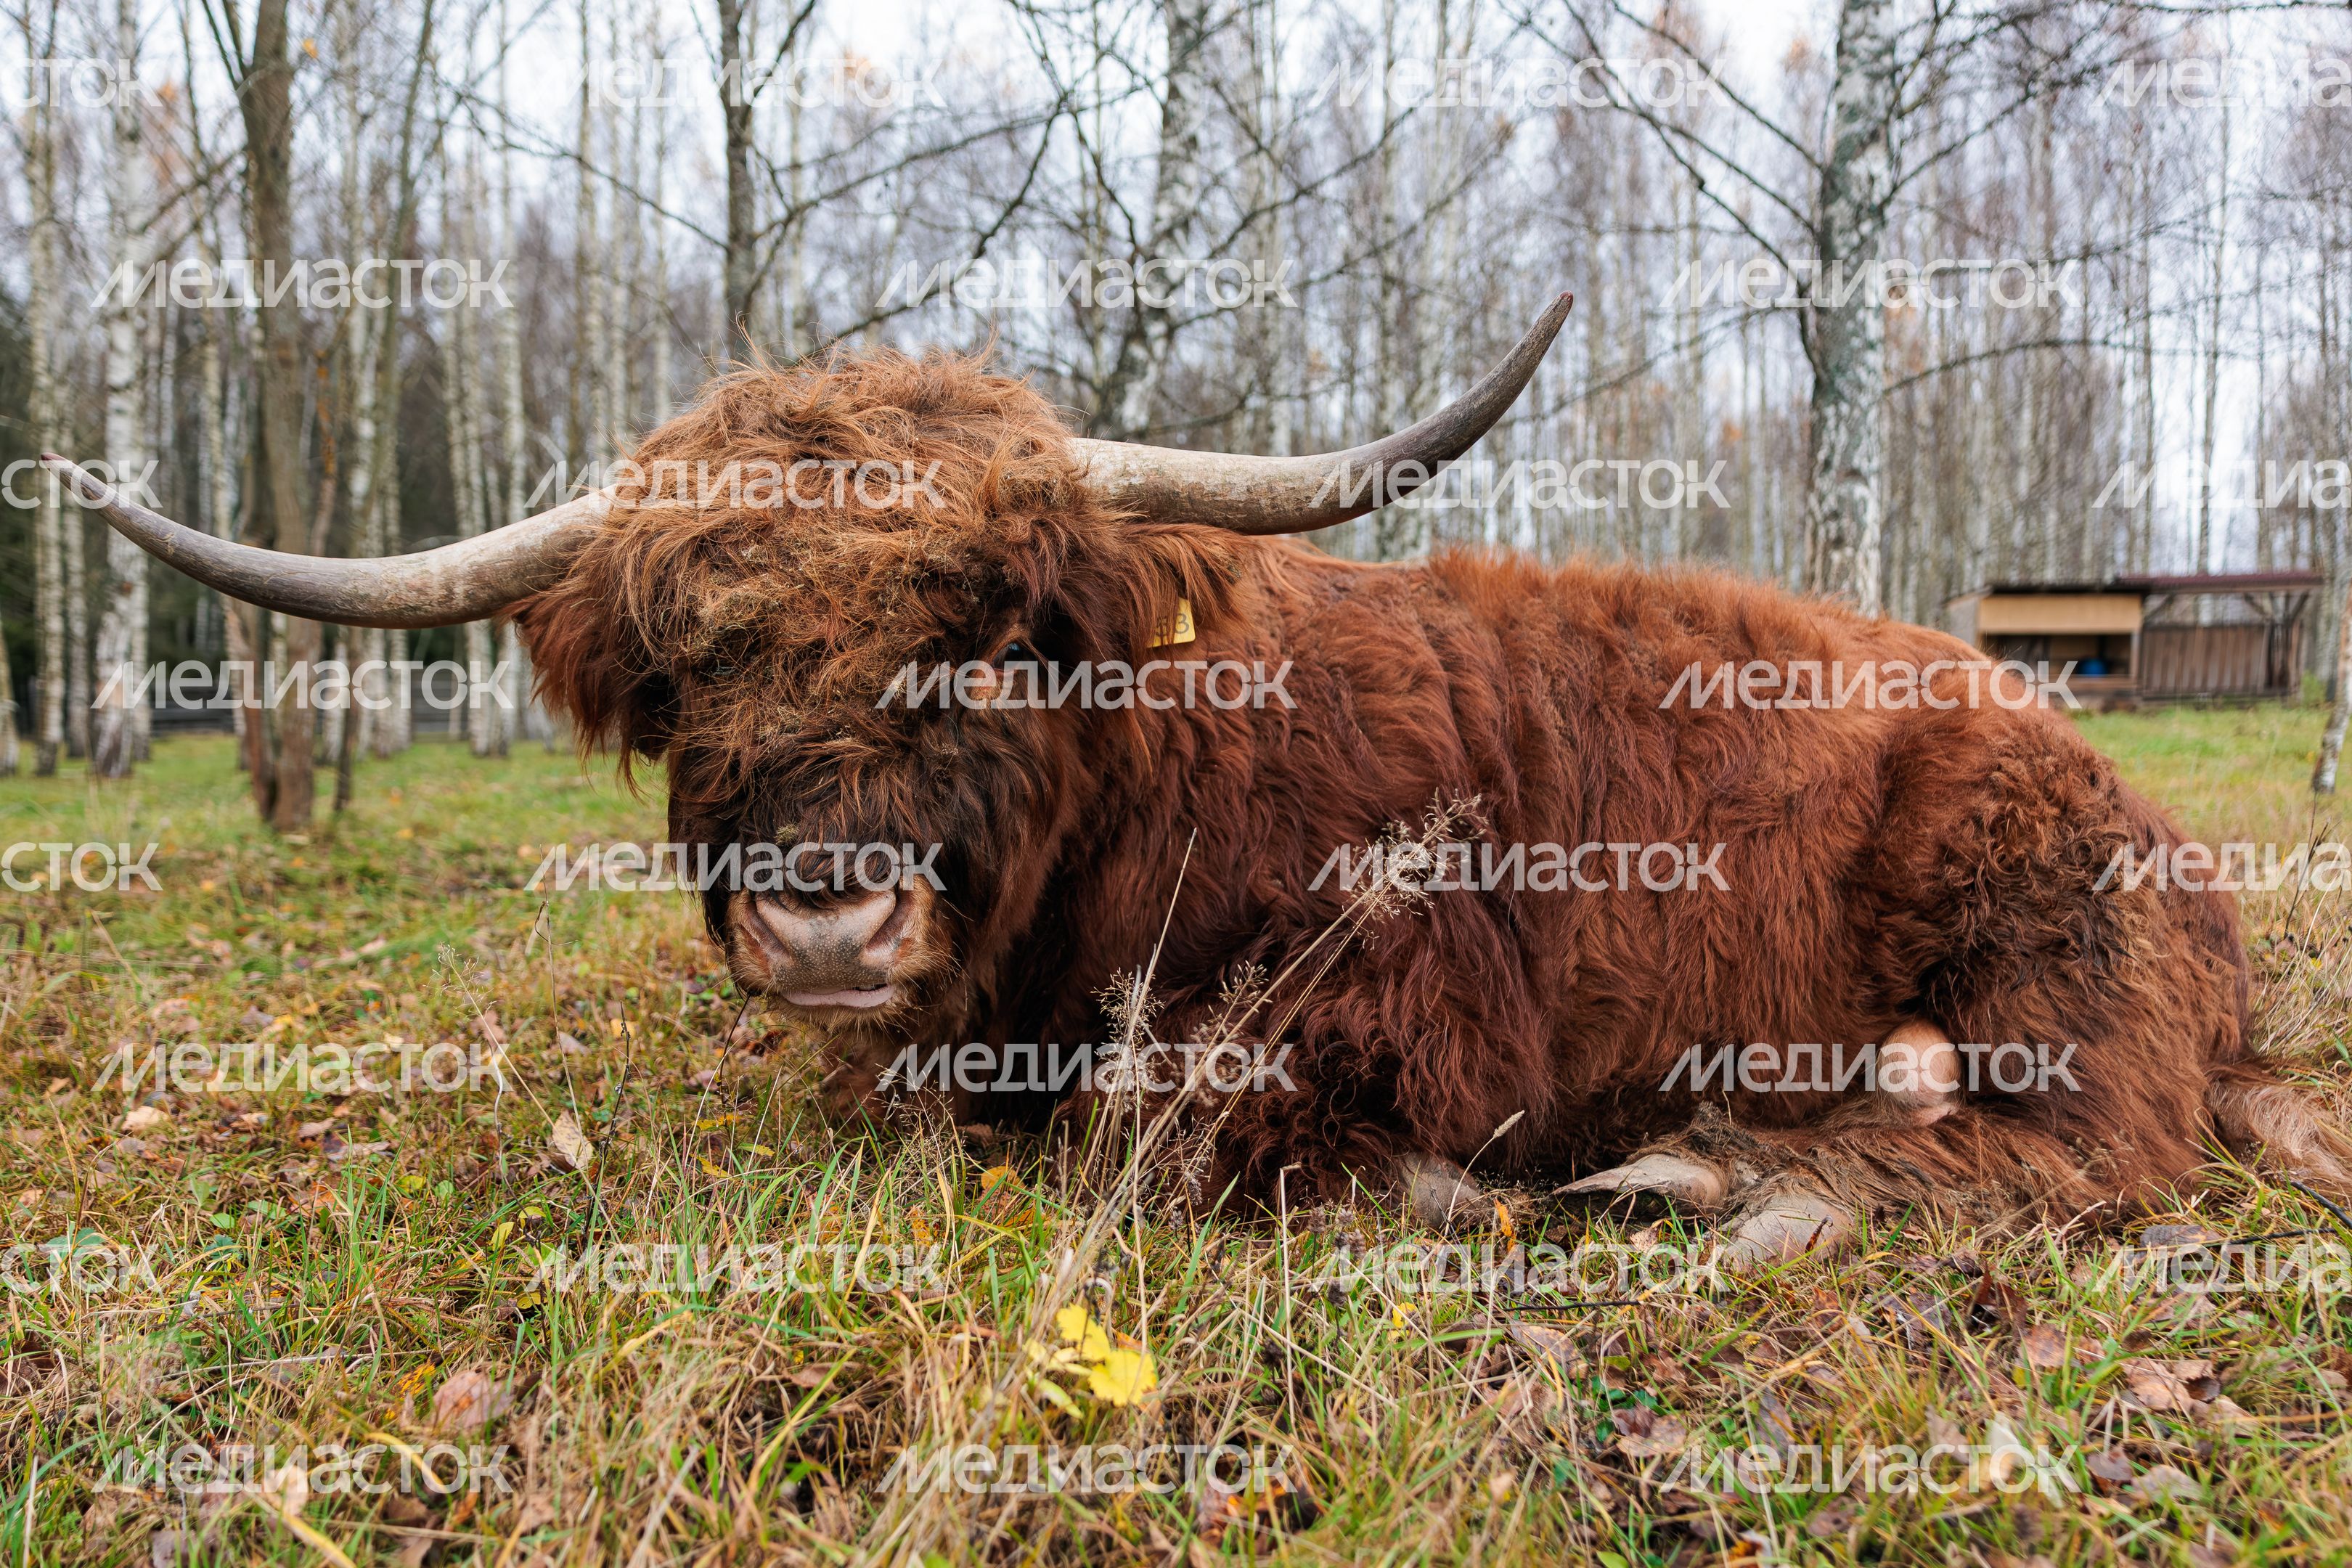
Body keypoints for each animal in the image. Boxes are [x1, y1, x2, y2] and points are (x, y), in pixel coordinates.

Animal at [49, 295, 2344, 1263]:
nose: (826, 912)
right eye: (697, 663)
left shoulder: (1404, 996)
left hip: (2038, 945)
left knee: (2087, 1147)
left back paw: (1724, 1171)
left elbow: (1160, 1138)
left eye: (985, 631)